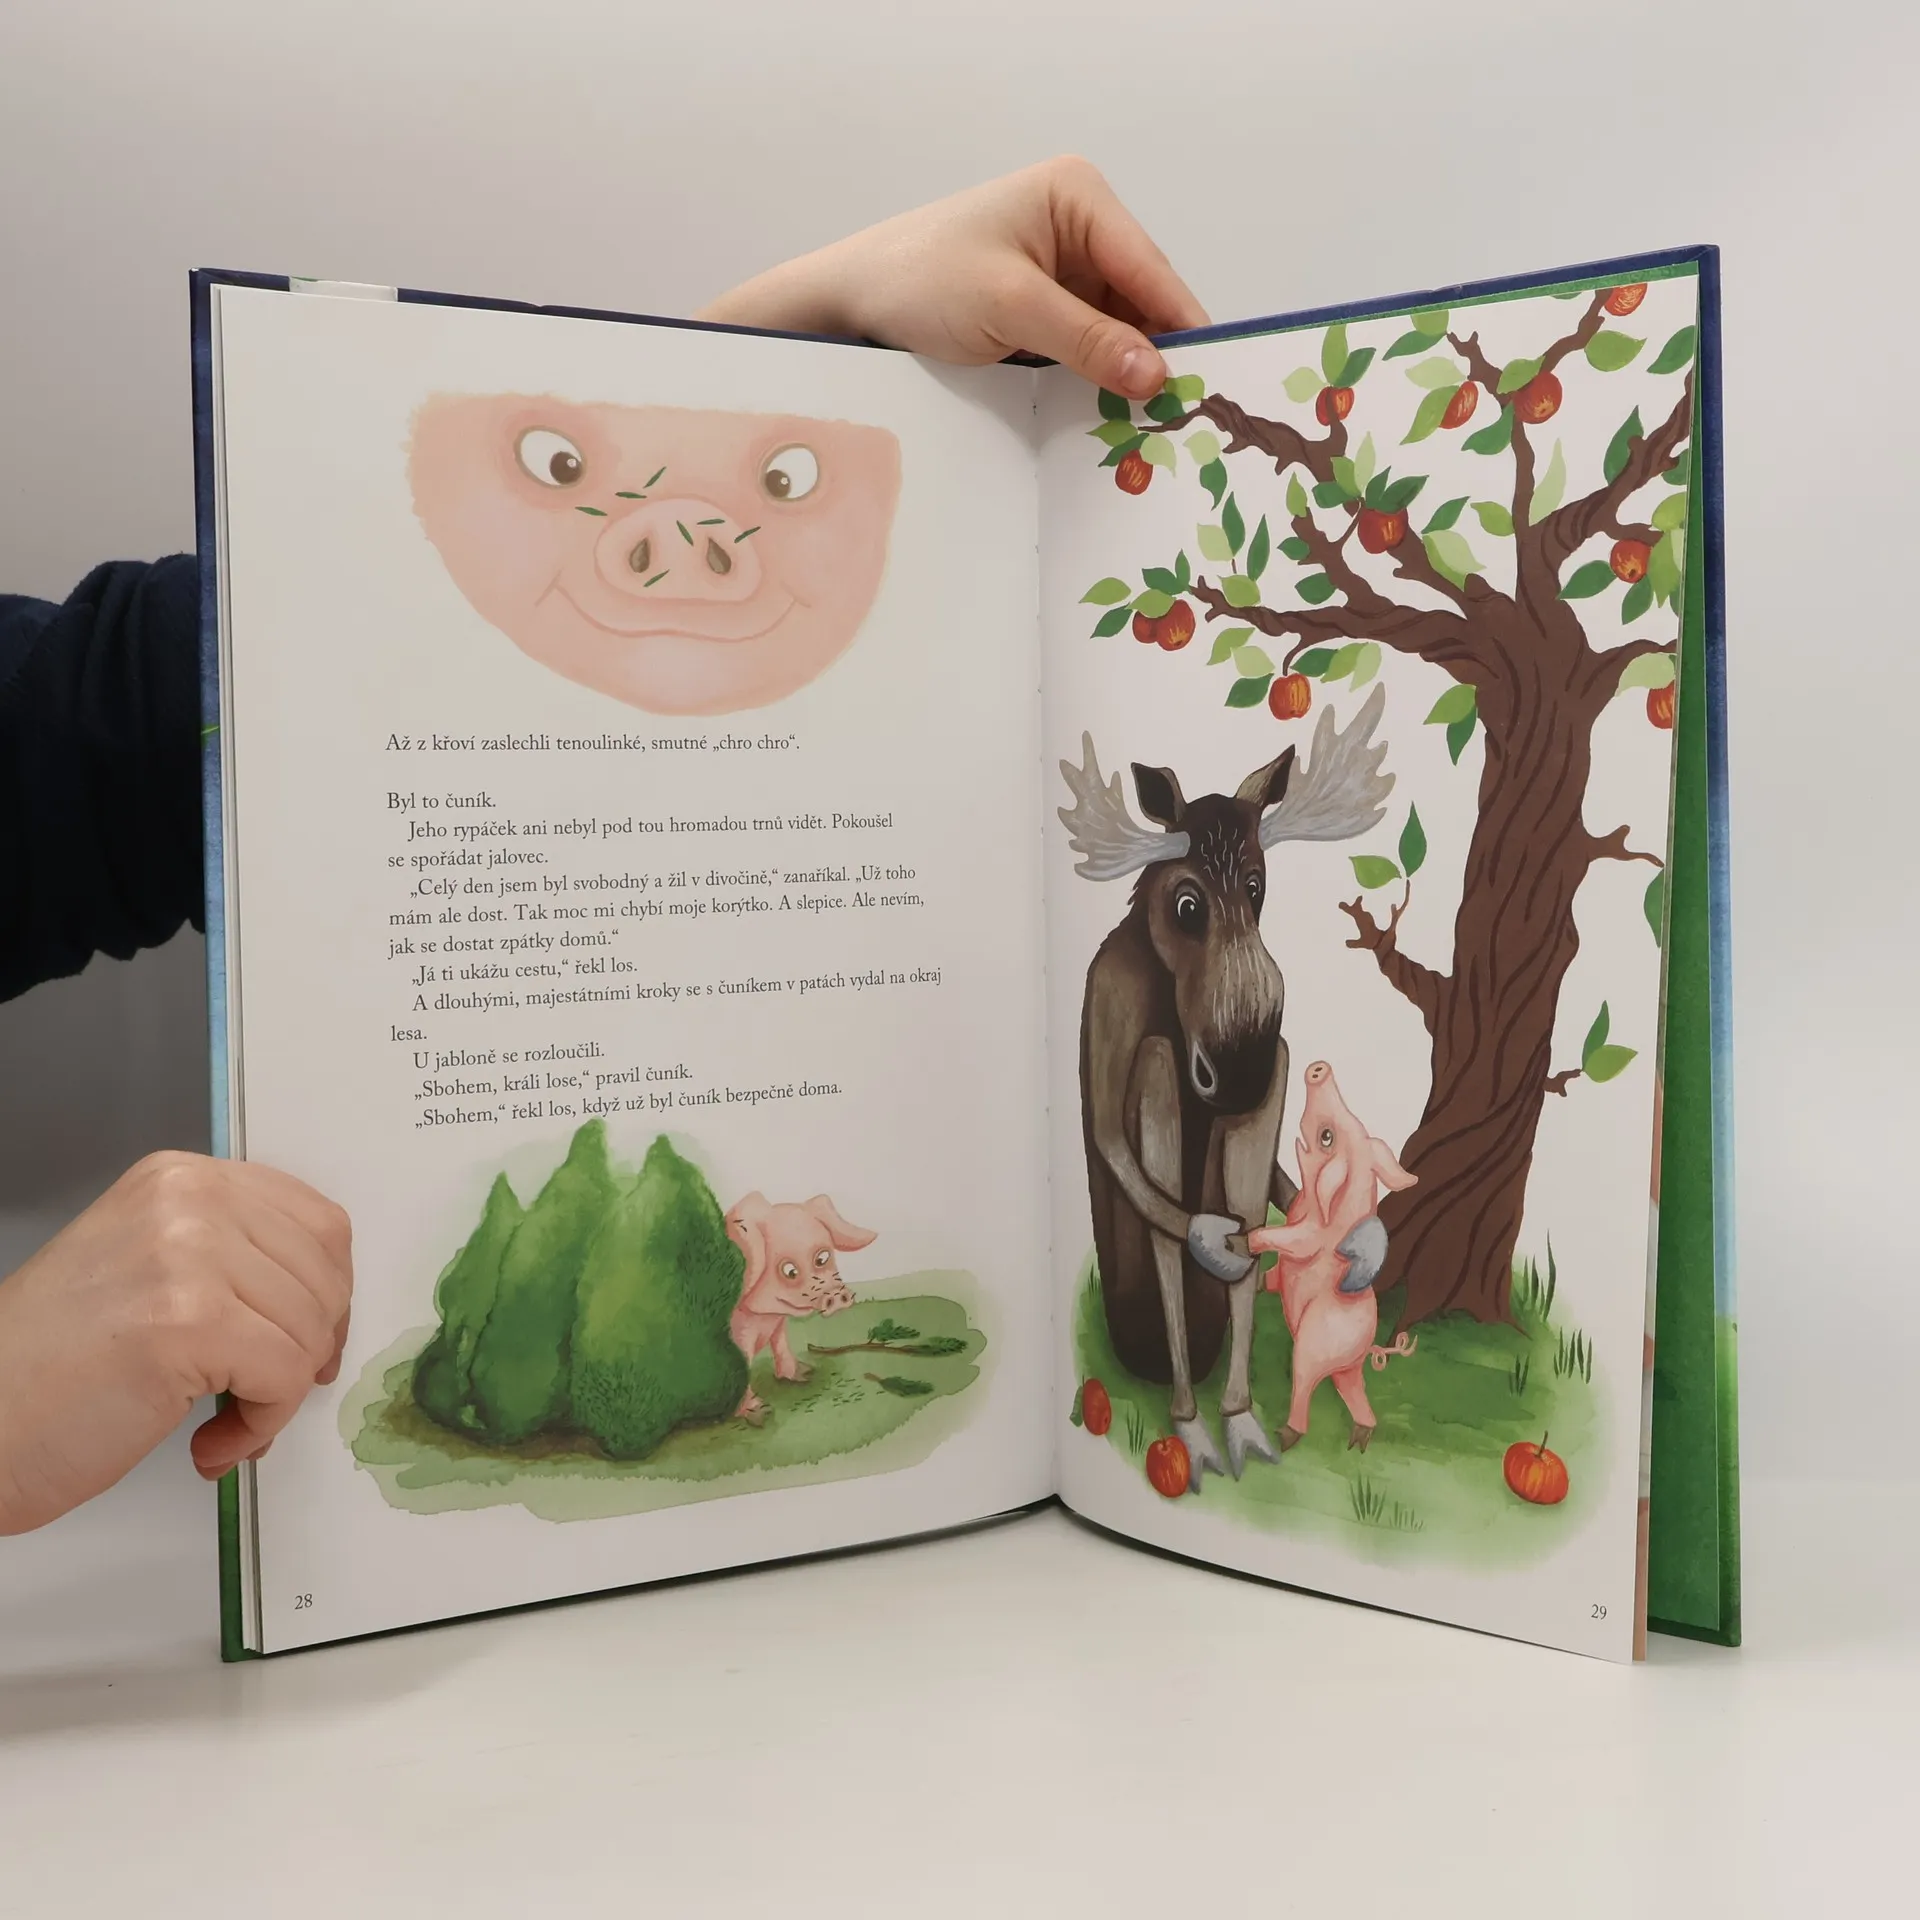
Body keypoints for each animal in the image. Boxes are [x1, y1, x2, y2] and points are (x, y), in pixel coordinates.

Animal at [723, 1191, 877, 1423]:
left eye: (822, 1257)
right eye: (790, 1271)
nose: (836, 1294)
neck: (764, 1318)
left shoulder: (777, 1323)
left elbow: (781, 1345)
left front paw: (805, 1373)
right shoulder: (738, 1338)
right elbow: (742, 1370)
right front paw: (761, 1414)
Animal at [1244, 1061, 1418, 1453]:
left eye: (1327, 1137)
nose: (1318, 1068)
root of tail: (1367, 1345)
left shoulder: (1310, 1236)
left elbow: (1291, 1240)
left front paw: (1247, 1240)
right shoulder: (1291, 1232)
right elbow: (1275, 1272)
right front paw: (1258, 1279)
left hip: (1315, 1341)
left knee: (1304, 1382)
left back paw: (1285, 1438)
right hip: (1346, 1368)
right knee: (1354, 1392)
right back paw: (1359, 1441)